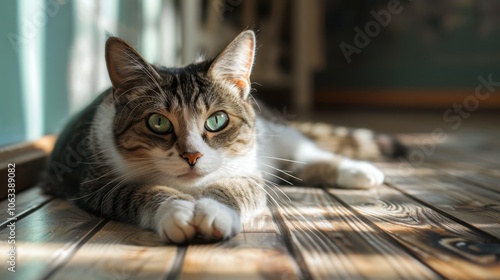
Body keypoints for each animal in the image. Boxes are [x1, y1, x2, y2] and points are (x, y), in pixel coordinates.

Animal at [43, 30, 402, 243]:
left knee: (304, 153)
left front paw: (212, 212)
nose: (192, 155)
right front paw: (175, 211)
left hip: (275, 135)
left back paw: (357, 170)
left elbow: (235, 188)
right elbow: (138, 191)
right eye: (158, 122)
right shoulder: (95, 184)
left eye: (217, 120)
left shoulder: (248, 172)